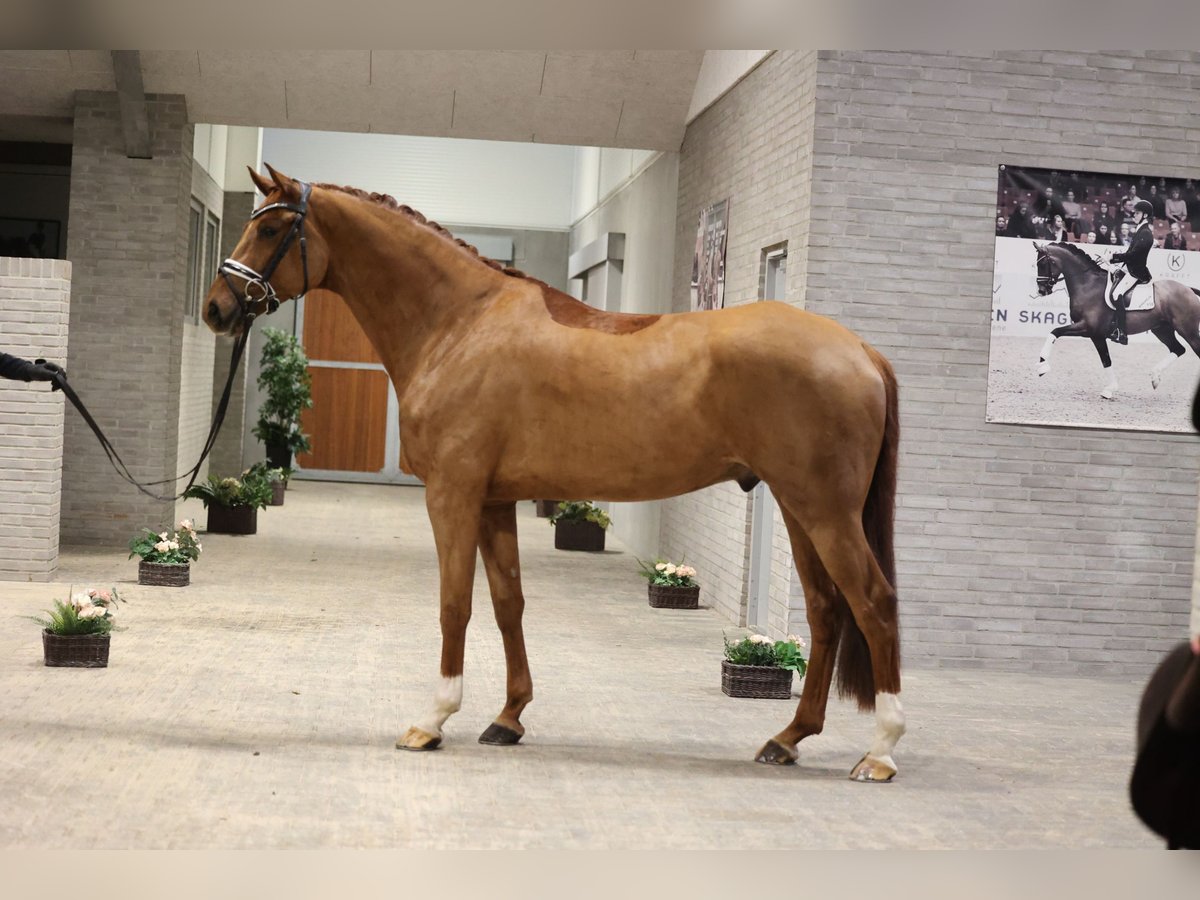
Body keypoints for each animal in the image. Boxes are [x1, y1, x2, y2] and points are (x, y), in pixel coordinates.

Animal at [201, 168, 902, 782]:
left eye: (270, 229)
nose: (215, 308)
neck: (460, 324)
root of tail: (862, 350)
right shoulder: (494, 501)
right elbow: (508, 602)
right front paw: (508, 717)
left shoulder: (452, 496)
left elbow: (454, 604)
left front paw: (432, 720)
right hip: (797, 507)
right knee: (825, 610)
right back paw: (788, 738)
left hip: (824, 510)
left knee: (873, 602)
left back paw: (880, 753)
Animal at [1027, 244, 1200, 403]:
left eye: (1043, 264)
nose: (1042, 290)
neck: (1087, 284)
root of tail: (1188, 289)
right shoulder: (1095, 335)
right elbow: (1106, 360)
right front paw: (1109, 390)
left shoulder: (1088, 328)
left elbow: (1055, 332)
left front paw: (1042, 366)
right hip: (1162, 329)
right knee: (1178, 349)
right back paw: (1155, 377)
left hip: (1187, 330)